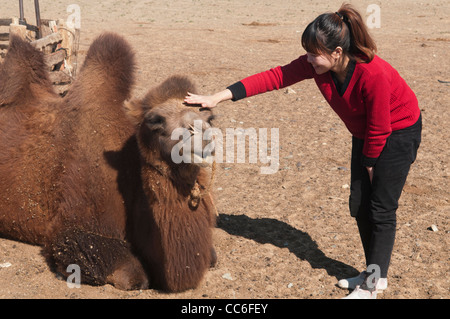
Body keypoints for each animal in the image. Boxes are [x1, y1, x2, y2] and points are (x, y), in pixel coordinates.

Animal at [0, 32, 216, 292]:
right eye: (155, 120)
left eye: (211, 118)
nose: (203, 139)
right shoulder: (77, 225)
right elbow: (134, 276)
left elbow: (212, 257)